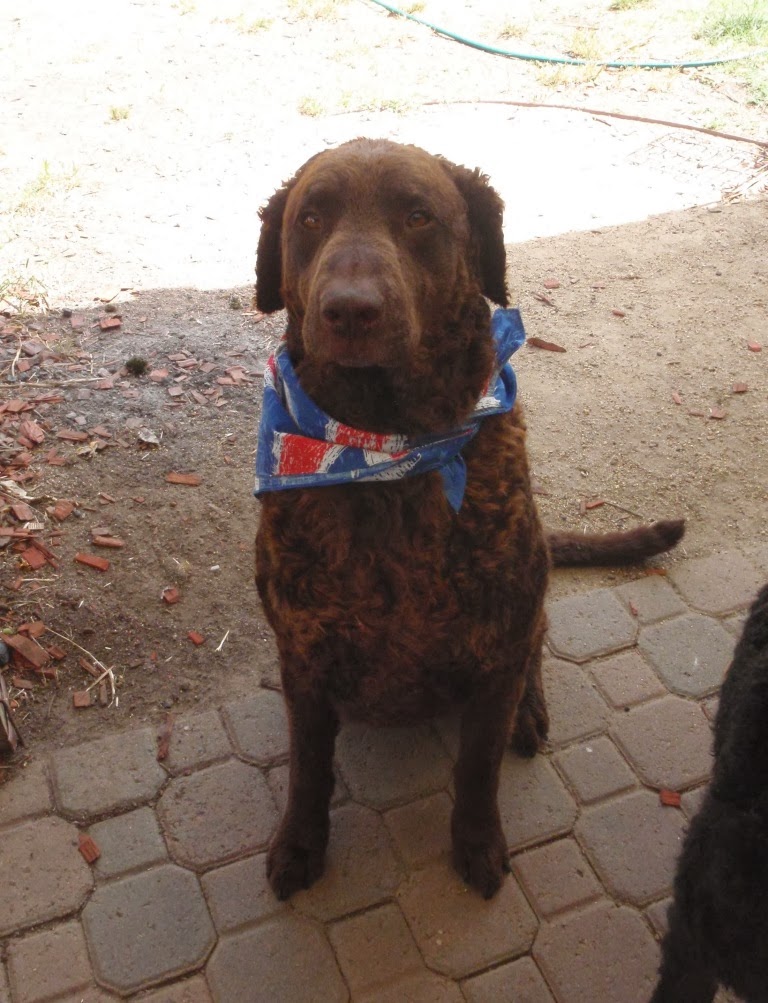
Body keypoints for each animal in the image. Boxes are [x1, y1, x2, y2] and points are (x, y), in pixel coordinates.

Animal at [253, 138, 684, 901]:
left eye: (419, 215)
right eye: (310, 218)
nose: (350, 310)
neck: (384, 452)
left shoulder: (495, 644)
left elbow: (477, 768)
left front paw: (477, 842)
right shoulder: (302, 655)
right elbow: (309, 768)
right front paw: (300, 843)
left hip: (526, 604)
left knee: (538, 648)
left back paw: (530, 712)